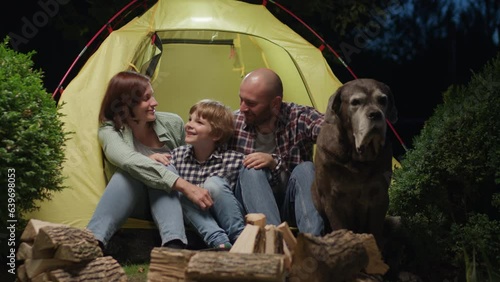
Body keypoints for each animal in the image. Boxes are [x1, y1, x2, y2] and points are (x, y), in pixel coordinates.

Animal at [312, 78, 398, 248]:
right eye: (355, 102)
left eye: (382, 100)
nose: (375, 114)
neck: (358, 160)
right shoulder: (332, 200)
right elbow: (340, 228)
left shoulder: (380, 197)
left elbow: (375, 232)